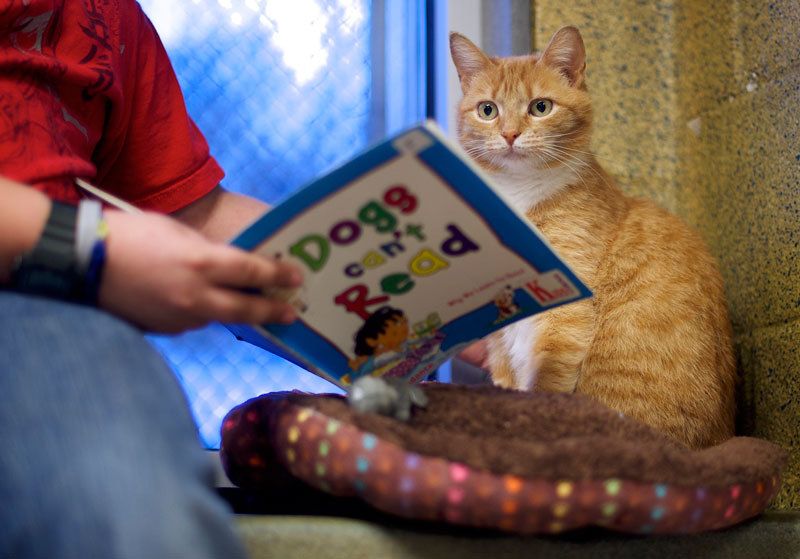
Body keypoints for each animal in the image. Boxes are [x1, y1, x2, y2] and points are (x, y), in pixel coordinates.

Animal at [454, 26, 736, 448]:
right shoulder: (503, 331)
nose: (509, 134)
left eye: (540, 107)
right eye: (488, 110)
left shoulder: (564, 312)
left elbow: (546, 382)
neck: (519, 194)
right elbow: (507, 379)